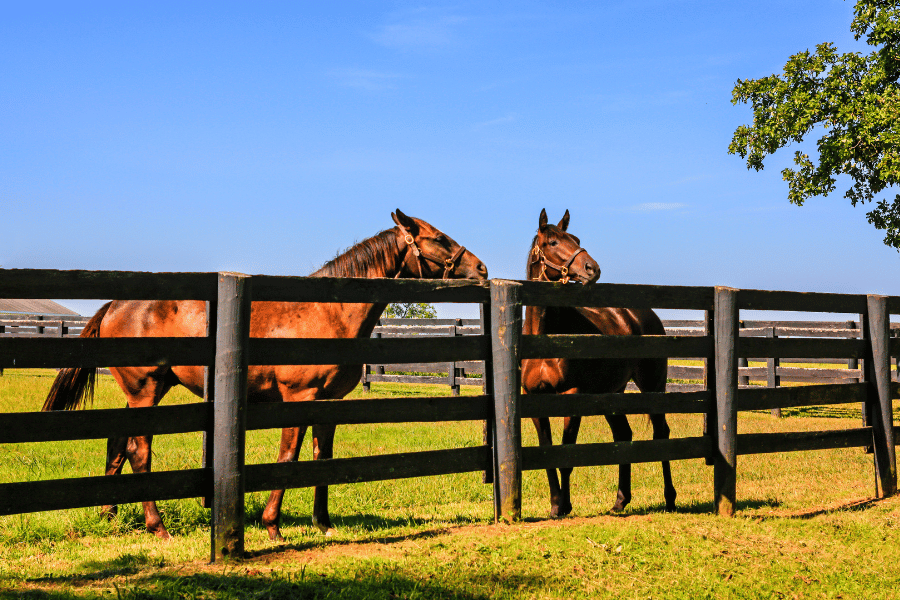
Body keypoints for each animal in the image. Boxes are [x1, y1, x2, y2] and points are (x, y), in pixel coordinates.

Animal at [43, 210, 488, 540]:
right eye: (439, 238)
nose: (481, 268)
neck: (327, 312)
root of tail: (115, 304)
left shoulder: (329, 403)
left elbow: (321, 458)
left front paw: (323, 524)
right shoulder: (298, 398)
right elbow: (288, 457)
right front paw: (273, 526)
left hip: (141, 394)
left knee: (117, 443)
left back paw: (109, 513)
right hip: (146, 391)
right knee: (139, 451)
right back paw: (158, 527)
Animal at [520, 209, 676, 516]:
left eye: (576, 238)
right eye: (553, 242)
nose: (592, 268)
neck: (545, 337)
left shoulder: (572, 396)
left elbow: (567, 454)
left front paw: (565, 505)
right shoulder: (534, 399)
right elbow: (547, 453)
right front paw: (555, 505)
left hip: (652, 386)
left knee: (661, 433)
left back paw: (670, 497)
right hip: (611, 392)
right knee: (623, 435)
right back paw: (620, 501)